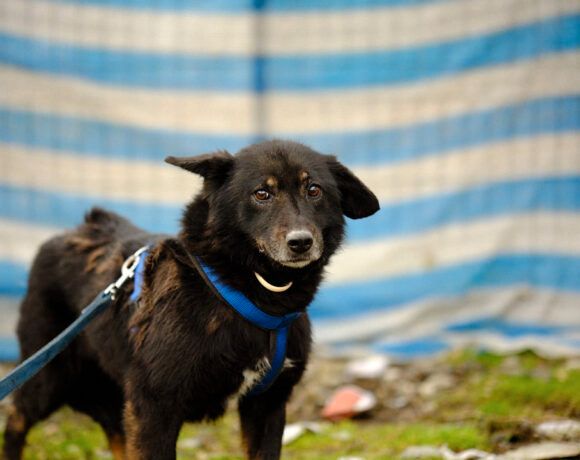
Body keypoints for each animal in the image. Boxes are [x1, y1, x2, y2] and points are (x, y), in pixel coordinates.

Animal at [1, 140, 380, 460]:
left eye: (314, 190)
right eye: (262, 193)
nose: (300, 242)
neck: (243, 291)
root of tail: (73, 231)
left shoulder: (267, 404)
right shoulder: (153, 406)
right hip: (48, 376)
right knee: (17, 418)